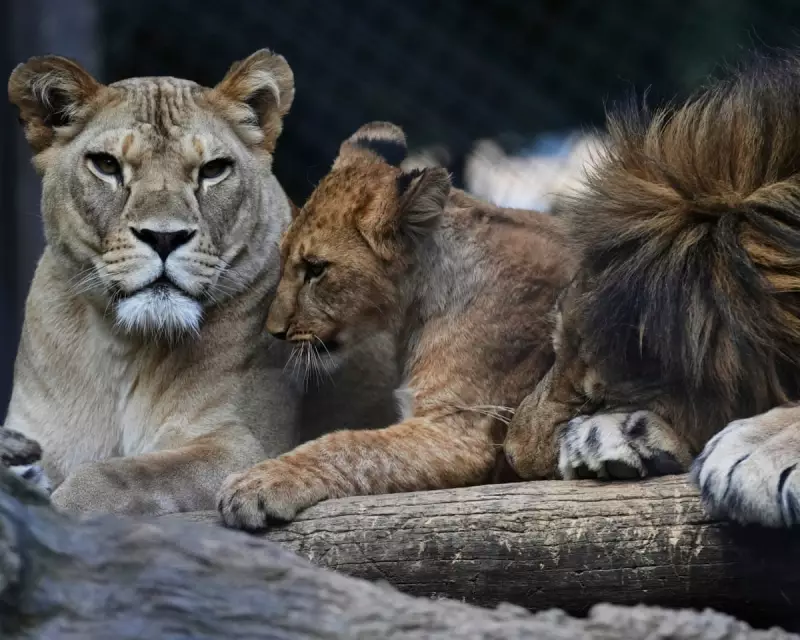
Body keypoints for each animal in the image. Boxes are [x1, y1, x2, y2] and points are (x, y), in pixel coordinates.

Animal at [5, 51, 397, 515]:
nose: (164, 237)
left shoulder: (243, 447)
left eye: (213, 170)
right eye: (106, 165)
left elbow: (124, 474)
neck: (124, 346)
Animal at [216, 121, 574, 530]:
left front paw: (257, 482)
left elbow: (348, 445)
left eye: (316, 269)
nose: (275, 330)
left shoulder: (457, 434)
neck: (415, 306)